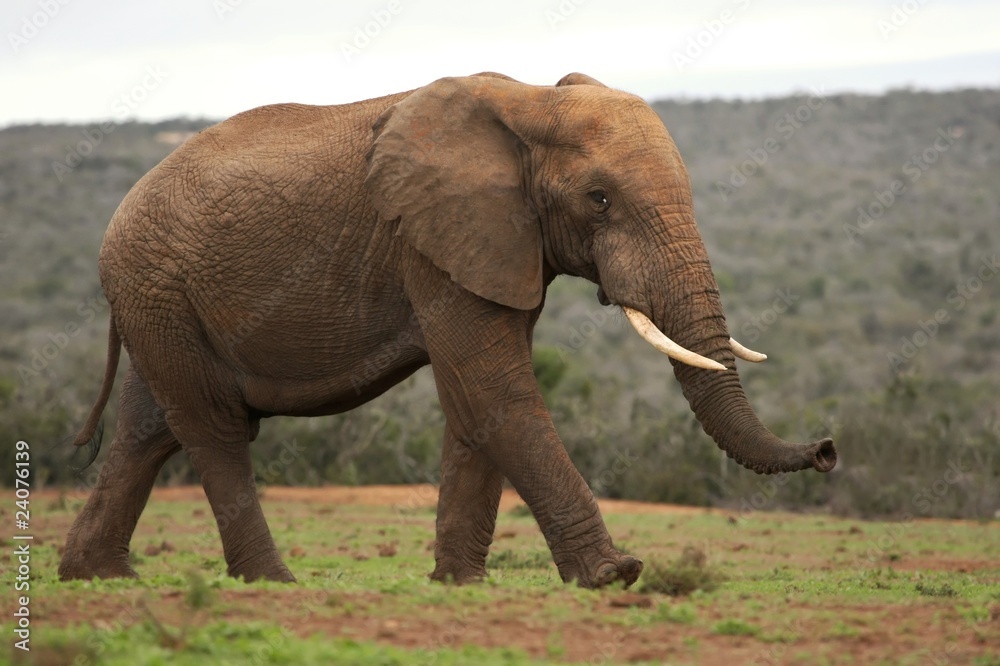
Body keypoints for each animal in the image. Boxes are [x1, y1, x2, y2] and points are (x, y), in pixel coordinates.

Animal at [59, 71, 836, 589]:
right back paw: (272, 583)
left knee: (149, 430)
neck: (528, 101)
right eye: (599, 200)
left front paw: (460, 587)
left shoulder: (500, 245)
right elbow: (495, 392)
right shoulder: (430, 241)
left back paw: (95, 579)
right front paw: (615, 576)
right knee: (214, 430)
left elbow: (474, 406)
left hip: (161, 304)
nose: (828, 449)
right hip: (159, 289)